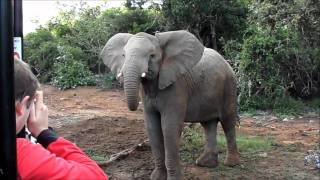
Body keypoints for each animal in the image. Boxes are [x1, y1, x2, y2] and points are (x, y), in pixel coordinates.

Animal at [100, 30, 240, 179]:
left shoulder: (177, 87)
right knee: (208, 123)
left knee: (227, 121)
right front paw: (157, 177)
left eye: (152, 56)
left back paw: (231, 164)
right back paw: (205, 163)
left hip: (229, 86)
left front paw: (173, 178)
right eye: (123, 55)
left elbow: (169, 127)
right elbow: (152, 126)